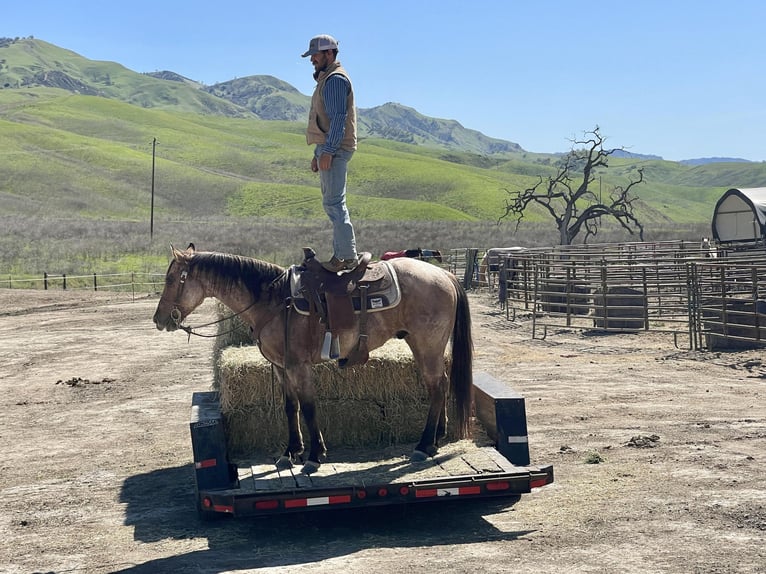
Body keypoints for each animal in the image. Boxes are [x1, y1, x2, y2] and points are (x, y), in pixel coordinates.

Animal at [153, 245, 474, 474]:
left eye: (170, 279)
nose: (158, 319)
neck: (273, 301)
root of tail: (445, 275)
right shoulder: (281, 367)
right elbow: (290, 406)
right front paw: (290, 452)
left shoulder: (299, 365)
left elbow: (308, 407)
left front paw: (314, 456)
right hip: (424, 346)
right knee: (441, 385)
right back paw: (435, 439)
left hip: (427, 345)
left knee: (437, 387)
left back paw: (423, 445)